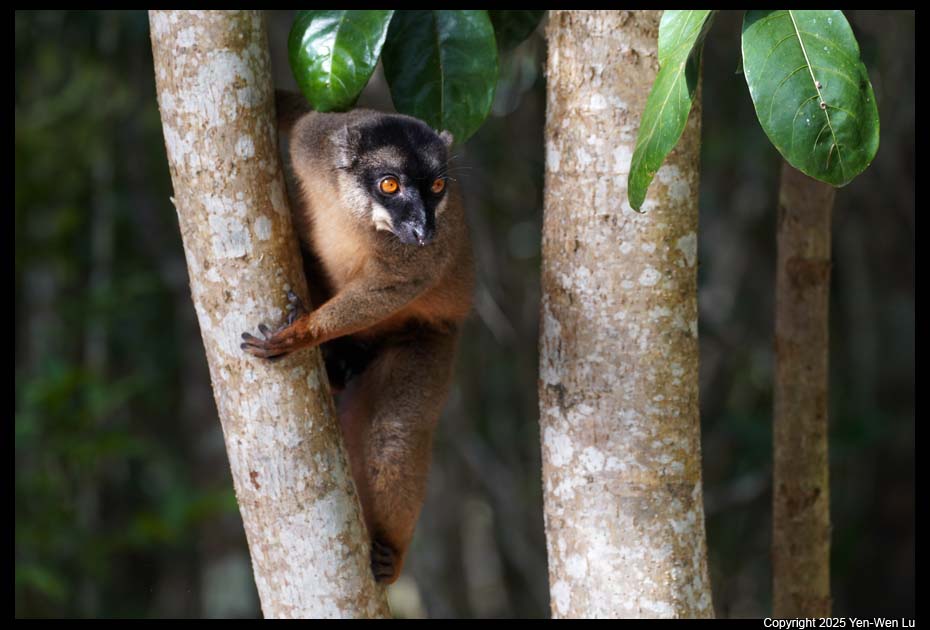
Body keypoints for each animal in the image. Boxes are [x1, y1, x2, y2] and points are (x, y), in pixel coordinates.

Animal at [241, 90, 474, 584]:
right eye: (390, 185)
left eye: (437, 187)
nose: (422, 229)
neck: (358, 215)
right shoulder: (314, 146)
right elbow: (303, 116)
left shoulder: (425, 256)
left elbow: (396, 288)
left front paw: (300, 333)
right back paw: (333, 369)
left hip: (428, 338)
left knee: (395, 436)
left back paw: (391, 553)